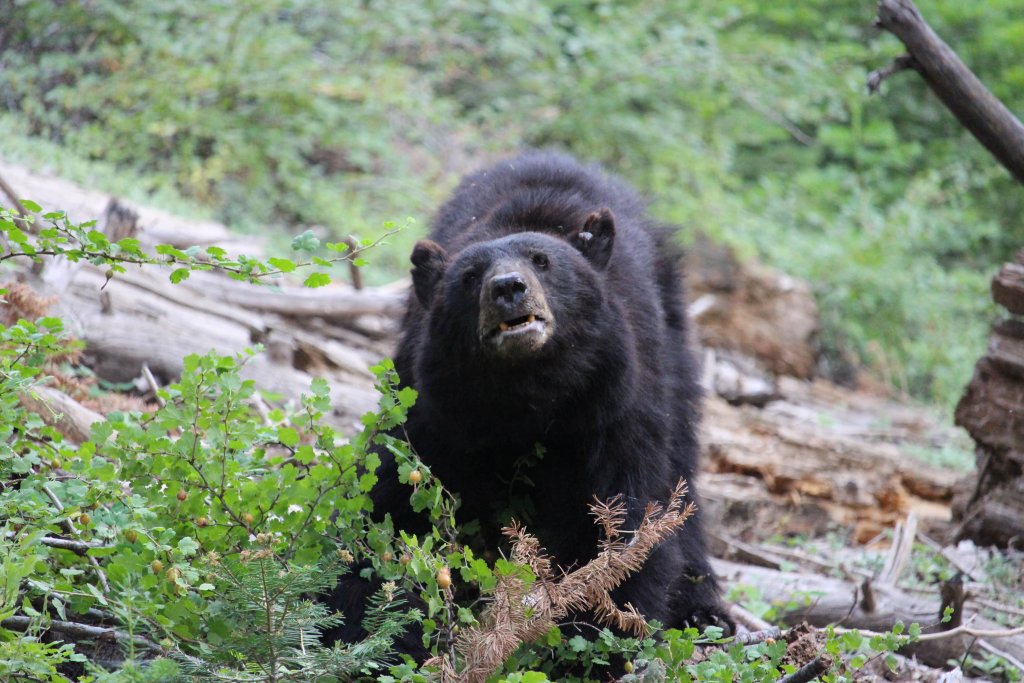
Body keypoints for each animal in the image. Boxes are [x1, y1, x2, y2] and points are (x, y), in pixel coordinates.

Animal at [327, 150, 729, 651]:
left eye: (543, 260)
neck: (530, 393)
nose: (508, 287)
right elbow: (387, 512)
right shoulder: (436, 414)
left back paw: (704, 610)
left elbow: (623, 520)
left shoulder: (613, 408)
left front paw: (600, 638)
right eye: (470, 276)